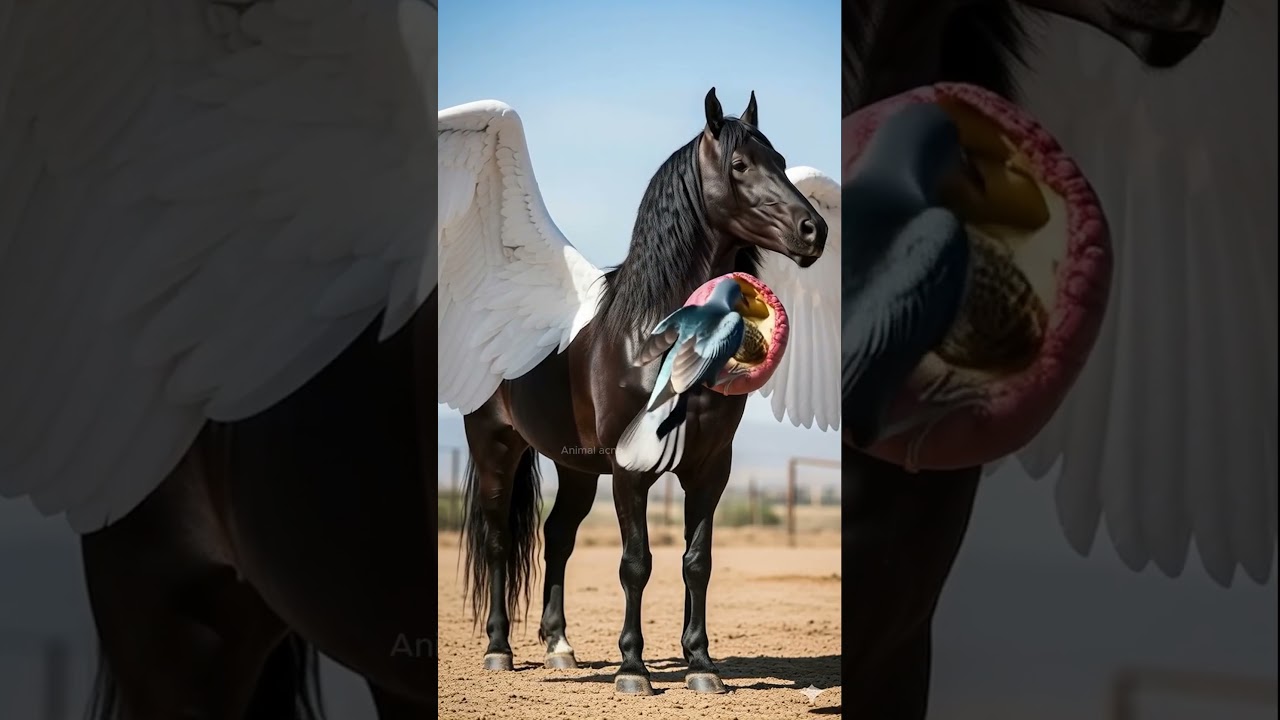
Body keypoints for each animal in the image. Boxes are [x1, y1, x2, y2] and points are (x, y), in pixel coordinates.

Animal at [441, 90, 831, 696]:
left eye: (783, 162)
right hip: (494, 446)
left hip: (575, 467)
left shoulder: (710, 467)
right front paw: (632, 670)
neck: (657, 334)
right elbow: (635, 562)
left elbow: (697, 561)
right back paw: (499, 650)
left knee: (557, 536)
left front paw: (701, 666)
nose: (815, 231)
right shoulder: (630, 469)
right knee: (500, 539)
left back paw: (559, 647)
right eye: (739, 165)